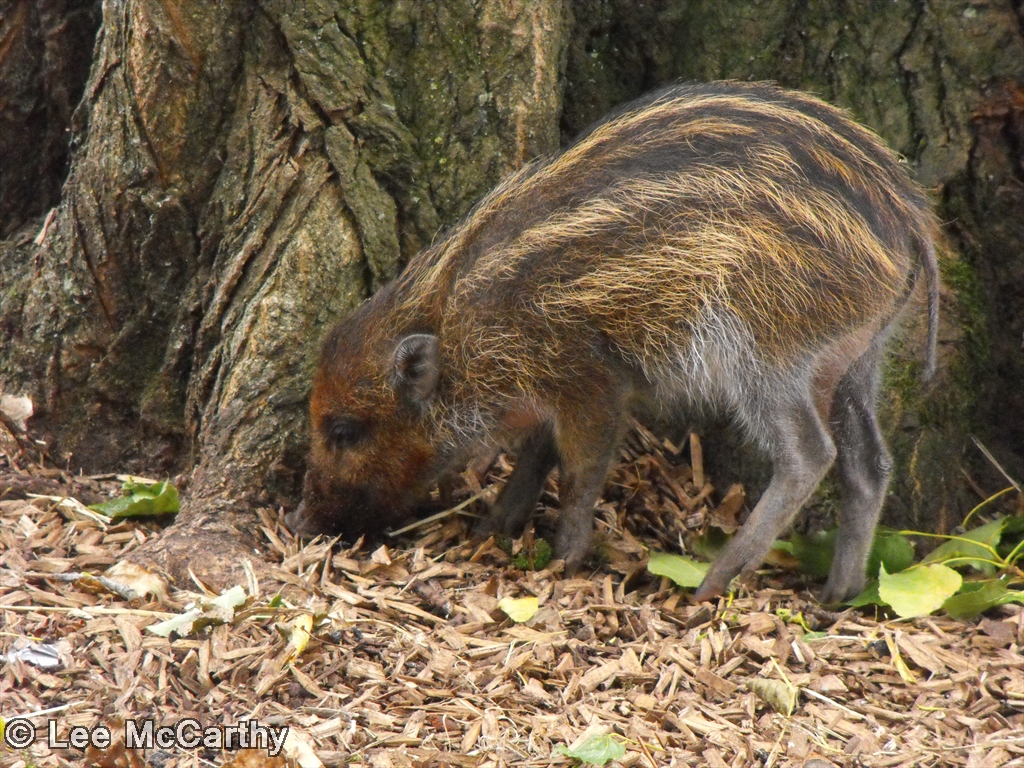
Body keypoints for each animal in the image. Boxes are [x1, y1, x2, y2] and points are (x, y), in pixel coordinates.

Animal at [287, 81, 940, 604]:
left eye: (344, 431)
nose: (297, 522)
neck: (460, 321)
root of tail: (908, 220)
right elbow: (538, 453)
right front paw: (490, 532)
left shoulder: (592, 378)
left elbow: (579, 469)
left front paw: (562, 560)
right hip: (855, 358)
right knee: (869, 463)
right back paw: (839, 595)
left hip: (768, 352)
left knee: (810, 454)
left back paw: (712, 583)